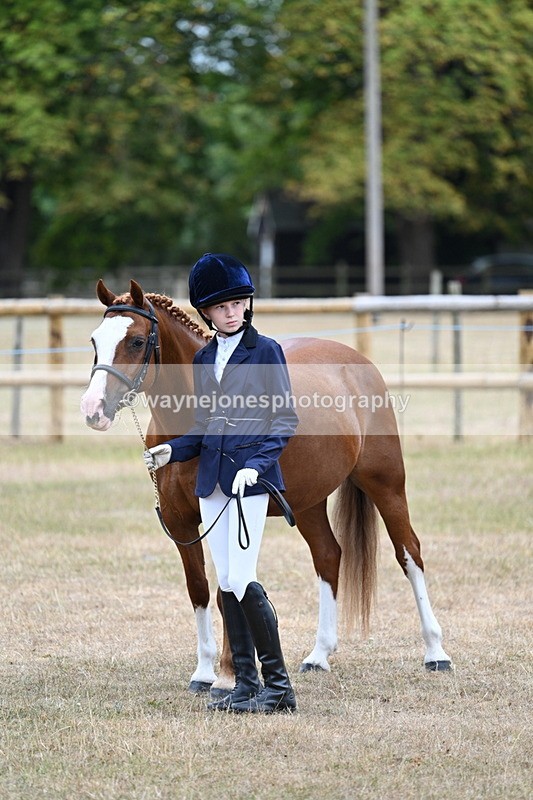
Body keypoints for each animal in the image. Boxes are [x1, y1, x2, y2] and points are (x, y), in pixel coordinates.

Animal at [80, 279, 452, 693]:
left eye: (136, 341)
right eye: (95, 340)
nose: (93, 409)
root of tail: (357, 363)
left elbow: (226, 592)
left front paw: (227, 676)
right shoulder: (181, 524)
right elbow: (200, 589)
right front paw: (203, 672)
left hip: (386, 484)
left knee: (409, 554)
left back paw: (436, 653)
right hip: (307, 503)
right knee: (328, 556)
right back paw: (319, 655)